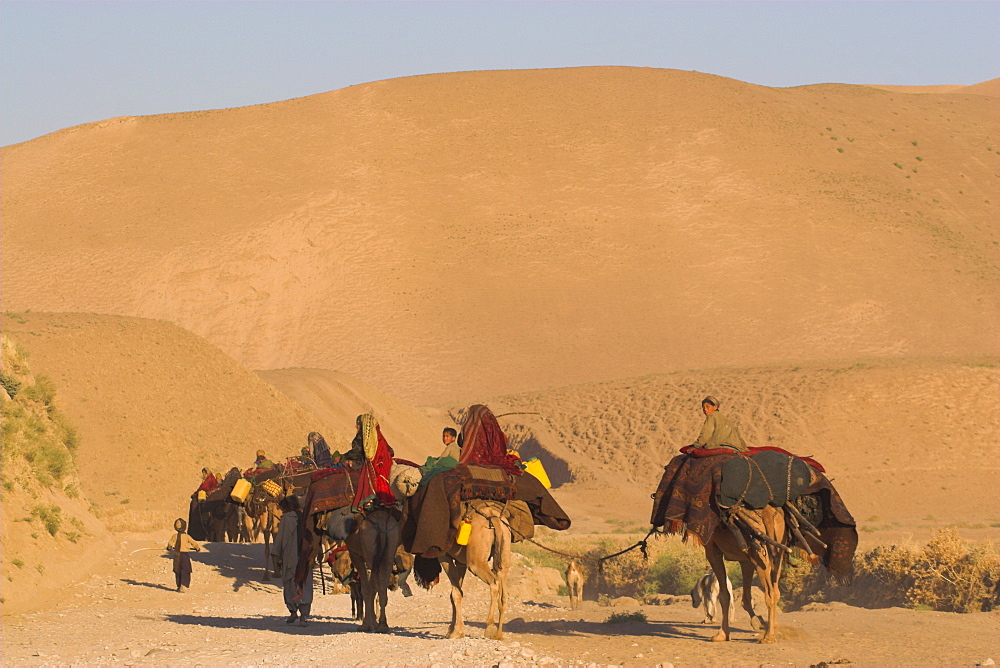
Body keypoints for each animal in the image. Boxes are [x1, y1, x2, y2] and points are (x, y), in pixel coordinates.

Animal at [440, 500, 512, 640]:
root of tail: (494, 517)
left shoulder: (444, 556)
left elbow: (455, 593)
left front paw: (456, 632)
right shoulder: (460, 561)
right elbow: (457, 592)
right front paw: (452, 629)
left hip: (476, 562)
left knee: (494, 582)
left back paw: (489, 625)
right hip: (505, 551)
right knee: (503, 592)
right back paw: (498, 634)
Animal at [704, 506, 788, 640]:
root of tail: (767, 514)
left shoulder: (712, 550)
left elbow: (724, 595)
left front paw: (722, 634)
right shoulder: (745, 559)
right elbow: (746, 598)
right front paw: (759, 622)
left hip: (760, 556)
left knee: (770, 593)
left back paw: (768, 637)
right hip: (778, 548)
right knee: (776, 590)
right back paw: (772, 627)